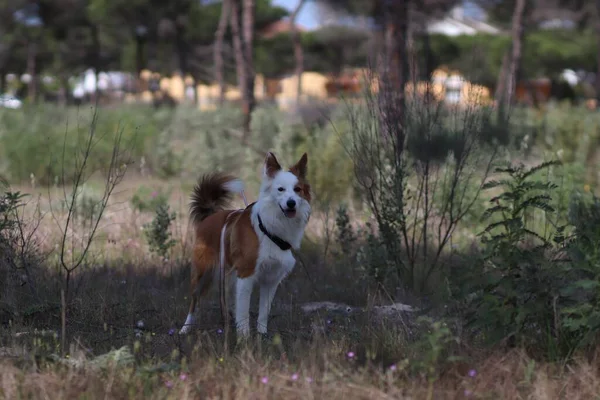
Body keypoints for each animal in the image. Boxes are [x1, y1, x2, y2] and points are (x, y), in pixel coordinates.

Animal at [178, 152, 312, 338]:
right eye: (281, 189)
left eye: (297, 189)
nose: (291, 203)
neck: (270, 229)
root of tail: (210, 215)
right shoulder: (246, 274)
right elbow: (243, 310)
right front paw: (244, 337)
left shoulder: (271, 279)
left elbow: (263, 311)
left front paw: (262, 334)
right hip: (203, 274)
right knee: (194, 302)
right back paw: (185, 328)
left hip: (228, 275)